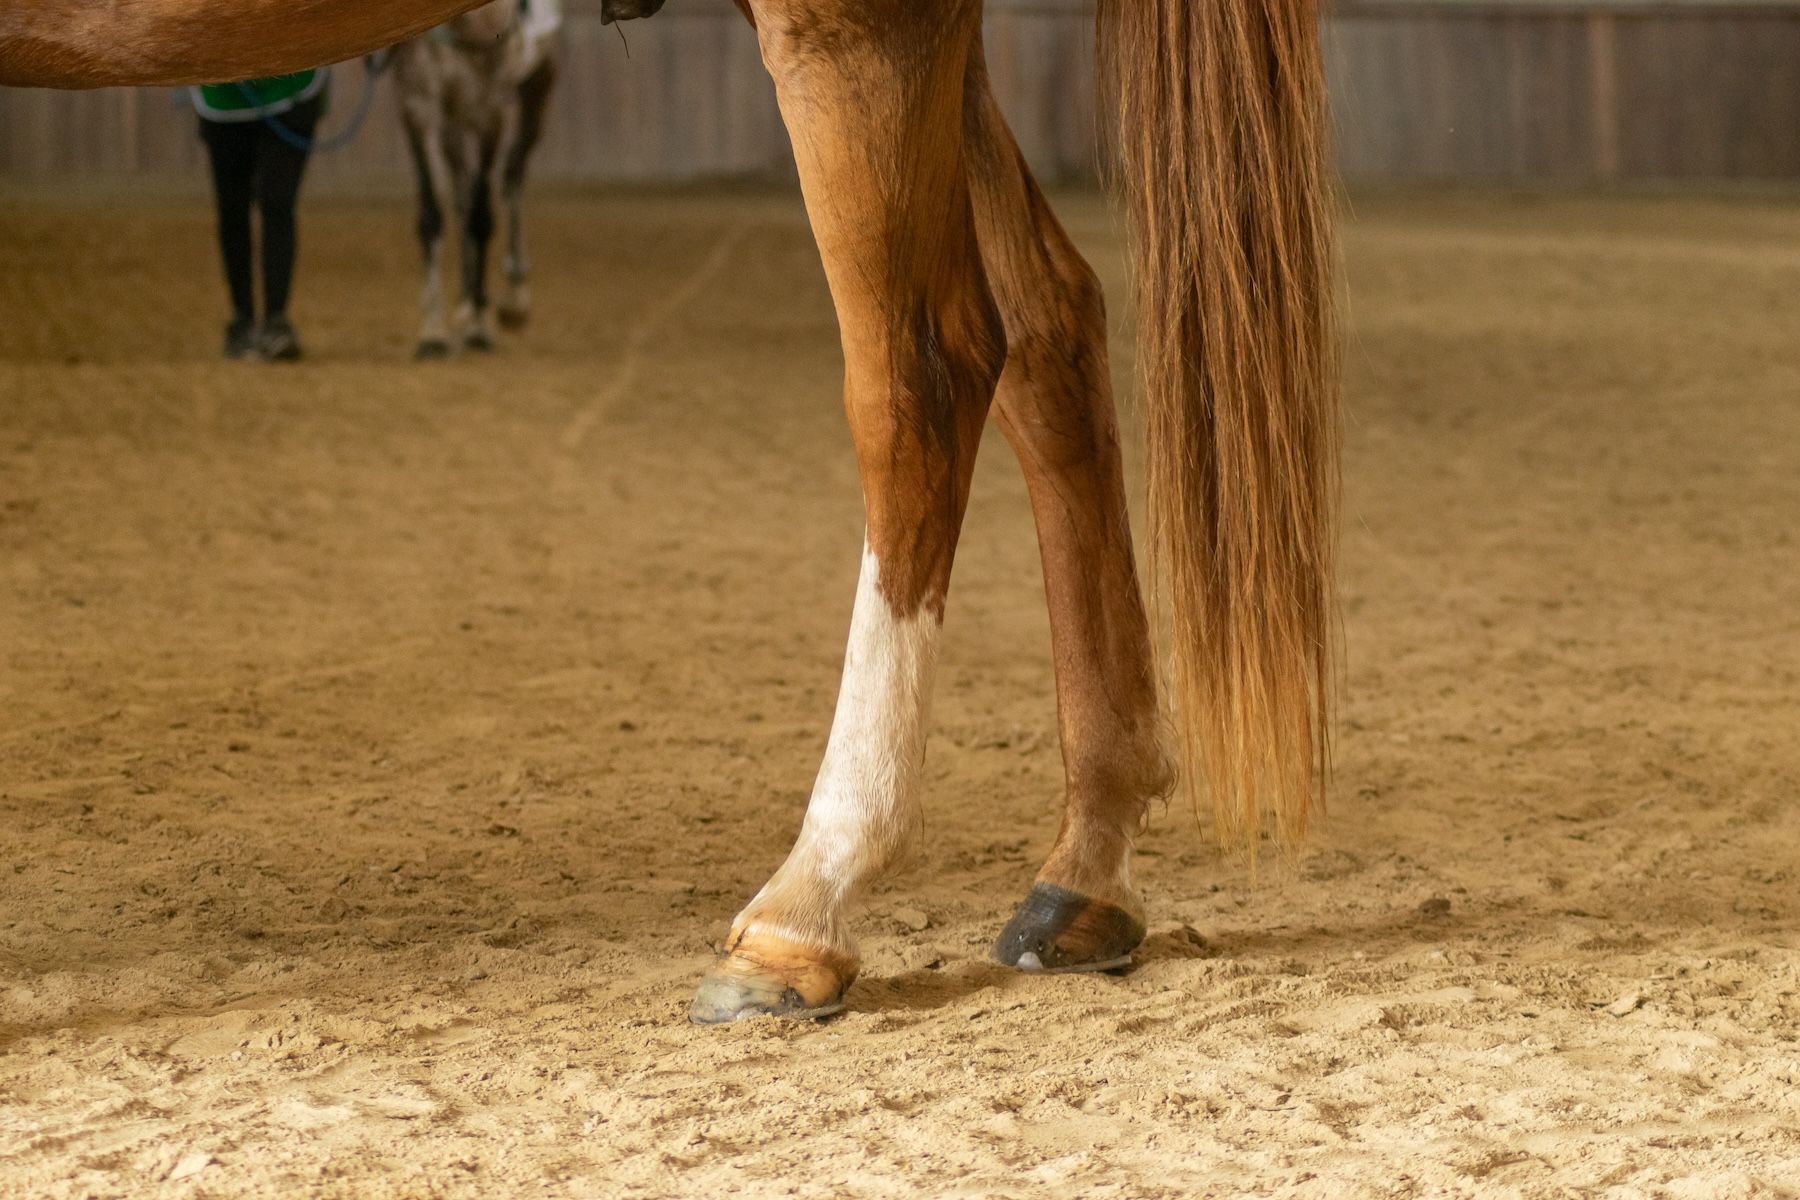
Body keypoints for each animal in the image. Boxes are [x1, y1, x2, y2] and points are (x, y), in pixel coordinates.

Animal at [390, 0, 562, 356]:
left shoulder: (490, 113)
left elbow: (482, 219)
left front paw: (479, 328)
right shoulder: (418, 106)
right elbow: (432, 216)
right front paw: (433, 331)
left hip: (539, 88)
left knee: (512, 175)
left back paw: (514, 297)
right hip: (452, 120)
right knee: (462, 193)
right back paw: (466, 301)